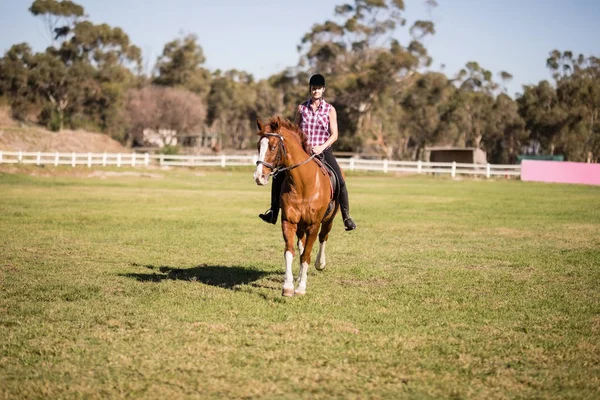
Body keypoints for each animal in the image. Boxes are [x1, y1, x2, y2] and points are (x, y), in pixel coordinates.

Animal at [252, 116, 338, 296]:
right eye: (258, 146)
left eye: (273, 146)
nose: (258, 177)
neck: (303, 183)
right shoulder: (289, 222)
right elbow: (290, 252)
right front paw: (288, 286)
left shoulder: (314, 225)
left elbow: (306, 255)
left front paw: (301, 288)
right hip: (300, 225)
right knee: (302, 244)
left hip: (329, 220)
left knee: (323, 237)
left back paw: (320, 264)